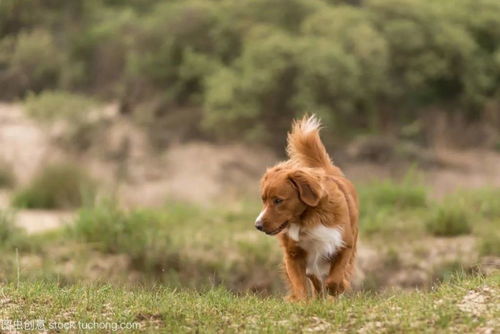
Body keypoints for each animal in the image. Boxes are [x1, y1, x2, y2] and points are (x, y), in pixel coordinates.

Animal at [256, 116, 358, 302]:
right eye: (263, 200)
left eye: (278, 200)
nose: (257, 225)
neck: (308, 220)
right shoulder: (293, 255)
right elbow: (300, 285)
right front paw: (302, 302)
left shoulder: (344, 244)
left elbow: (335, 278)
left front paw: (337, 289)